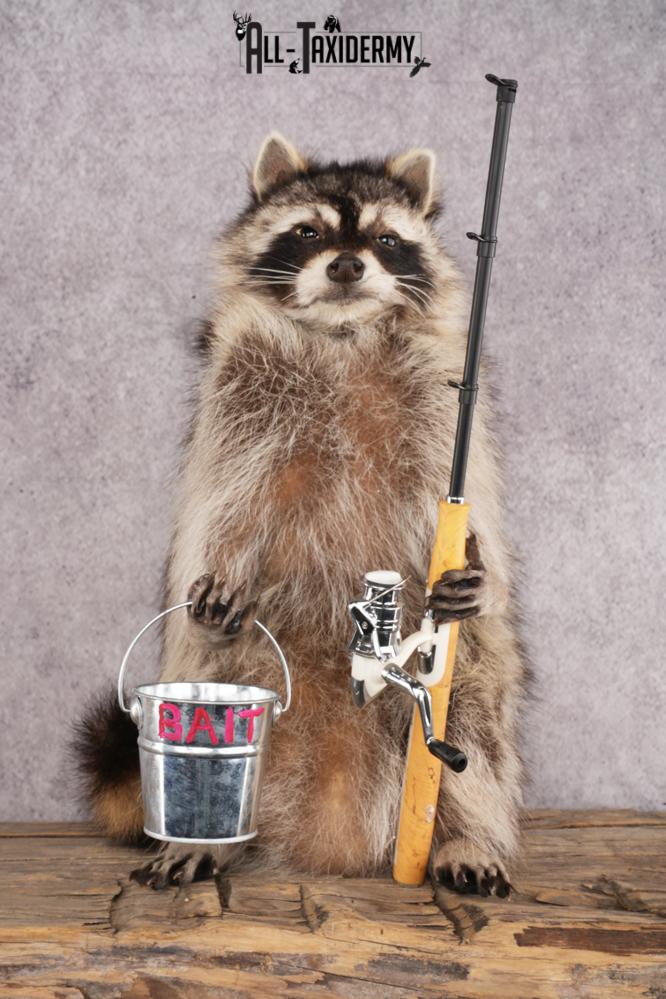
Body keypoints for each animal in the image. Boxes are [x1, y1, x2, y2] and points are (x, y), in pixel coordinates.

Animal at [75, 133, 526, 896]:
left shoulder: (442, 408)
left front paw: (483, 572)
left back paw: (465, 835)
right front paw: (216, 563)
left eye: (384, 238)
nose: (347, 264)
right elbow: (220, 500)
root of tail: (329, 838)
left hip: (464, 685)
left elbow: (476, 513)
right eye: (308, 232)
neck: (341, 334)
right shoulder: (238, 391)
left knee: (475, 724)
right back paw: (214, 842)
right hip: (242, 669)